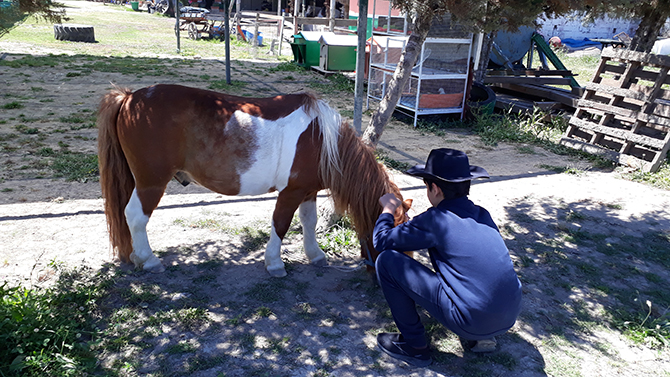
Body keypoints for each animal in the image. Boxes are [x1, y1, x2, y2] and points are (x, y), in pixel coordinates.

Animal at [98, 83, 410, 276]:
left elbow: (309, 222)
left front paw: (315, 255)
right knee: (135, 216)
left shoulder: (307, 191)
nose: (381, 277)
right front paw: (274, 264)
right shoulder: (290, 192)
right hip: (151, 182)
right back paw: (149, 260)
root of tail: (129, 98)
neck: (322, 140)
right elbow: (281, 225)